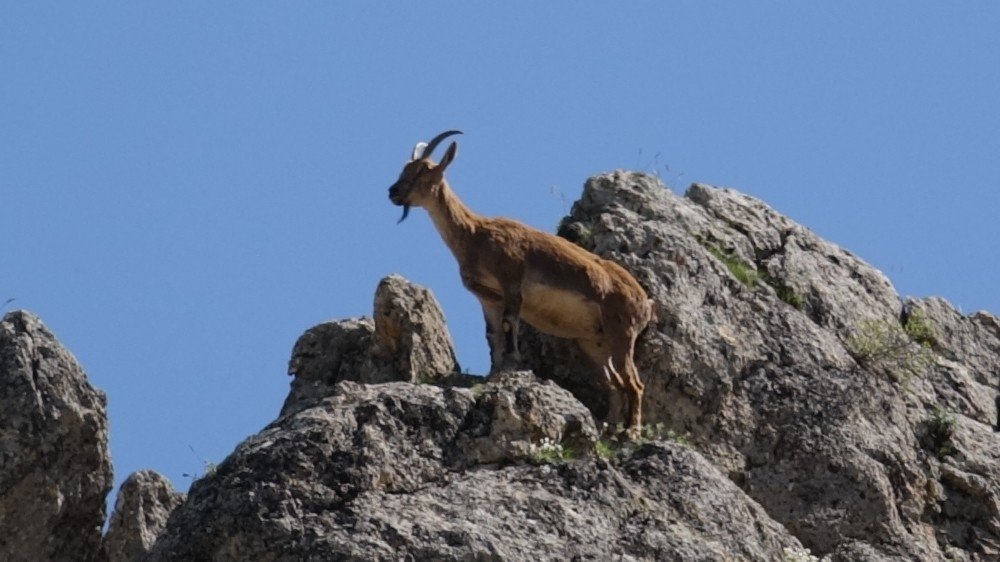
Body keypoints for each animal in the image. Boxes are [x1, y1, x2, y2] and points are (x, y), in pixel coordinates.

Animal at [384, 131, 656, 434]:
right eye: (405, 169)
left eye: (423, 171)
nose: (393, 192)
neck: (474, 235)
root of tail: (645, 302)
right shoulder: (487, 297)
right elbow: (492, 335)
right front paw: (493, 374)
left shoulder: (512, 282)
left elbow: (509, 325)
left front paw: (511, 367)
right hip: (594, 342)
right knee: (615, 383)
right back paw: (612, 428)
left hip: (622, 331)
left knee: (634, 383)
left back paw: (632, 431)